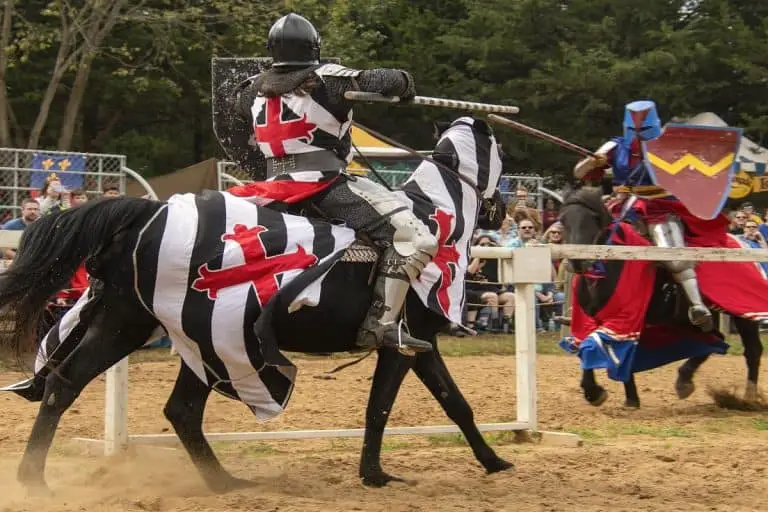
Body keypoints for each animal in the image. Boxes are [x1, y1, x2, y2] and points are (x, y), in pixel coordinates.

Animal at [552, 188, 760, 408]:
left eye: (594, 218)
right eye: (562, 220)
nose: (577, 262)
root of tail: (746, 243)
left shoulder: (624, 319)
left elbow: (592, 348)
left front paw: (596, 392)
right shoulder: (594, 320)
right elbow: (588, 348)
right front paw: (624, 397)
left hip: (743, 313)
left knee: (752, 350)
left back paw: (749, 397)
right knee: (716, 339)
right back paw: (685, 380)